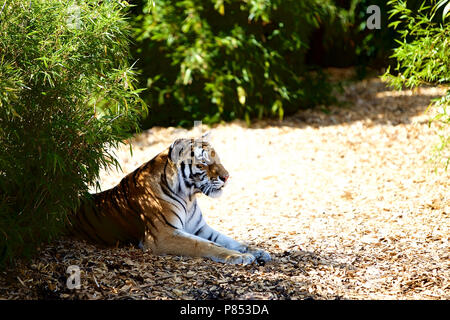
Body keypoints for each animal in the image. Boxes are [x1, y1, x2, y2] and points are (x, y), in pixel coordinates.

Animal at [66, 132, 270, 264]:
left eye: (218, 159)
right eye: (203, 163)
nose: (227, 177)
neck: (189, 197)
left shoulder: (199, 228)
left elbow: (230, 240)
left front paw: (257, 252)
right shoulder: (164, 235)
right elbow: (205, 245)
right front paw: (238, 257)